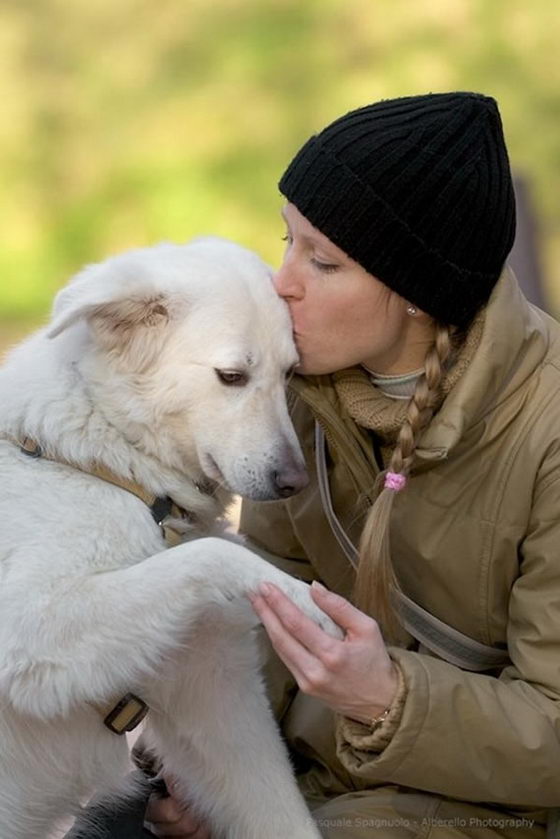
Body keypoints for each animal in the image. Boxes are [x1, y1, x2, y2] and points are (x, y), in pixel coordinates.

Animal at [0, 238, 336, 839]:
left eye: (289, 375)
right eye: (231, 376)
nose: (295, 483)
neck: (113, 463)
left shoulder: (217, 700)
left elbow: (284, 816)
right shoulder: (32, 629)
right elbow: (214, 553)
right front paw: (303, 601)